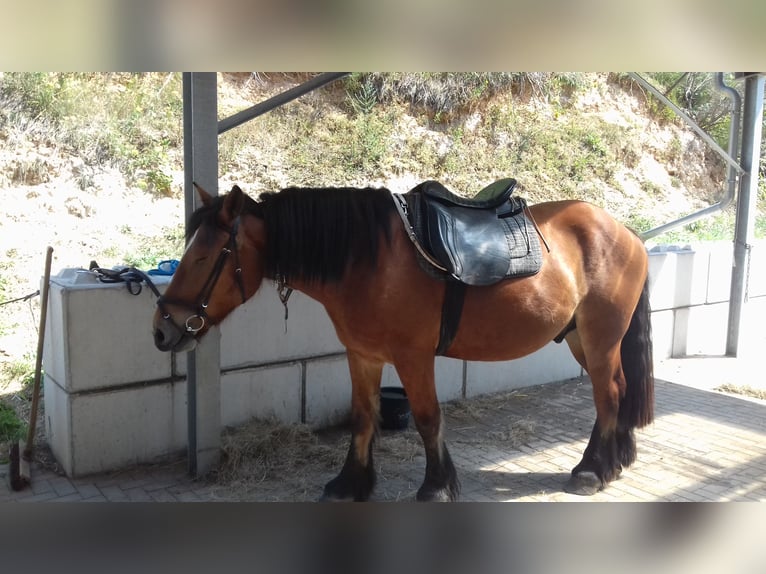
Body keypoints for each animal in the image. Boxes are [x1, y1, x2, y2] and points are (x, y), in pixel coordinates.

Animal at [152, 182, 654, 501]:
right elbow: (362, 418)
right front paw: (351, 483)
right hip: (581, 340)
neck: (367, 260)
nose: (162, 329)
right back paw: (615, 461)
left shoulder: (414, 358)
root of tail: (627, 232)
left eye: (204, 256)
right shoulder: (362, 355)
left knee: (608, 394)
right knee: (618, 390)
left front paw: (436, 486)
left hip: (600, 338)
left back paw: (592, 470)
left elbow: (428, 419)